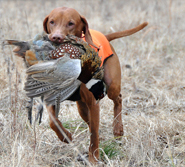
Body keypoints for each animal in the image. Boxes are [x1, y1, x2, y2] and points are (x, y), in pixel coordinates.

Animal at [41, 6, 147, 163]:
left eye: (71, 23)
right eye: (52, 22)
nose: (56, 37)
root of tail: (105, 37)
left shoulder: (93, 102)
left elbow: (94, 133)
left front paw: (93, 159)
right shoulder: (51, 97)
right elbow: (53, 122)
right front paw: (65, 136)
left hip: (111, 87)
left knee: (118, 99)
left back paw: (118, 129)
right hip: (82, 108)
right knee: (90, 122)